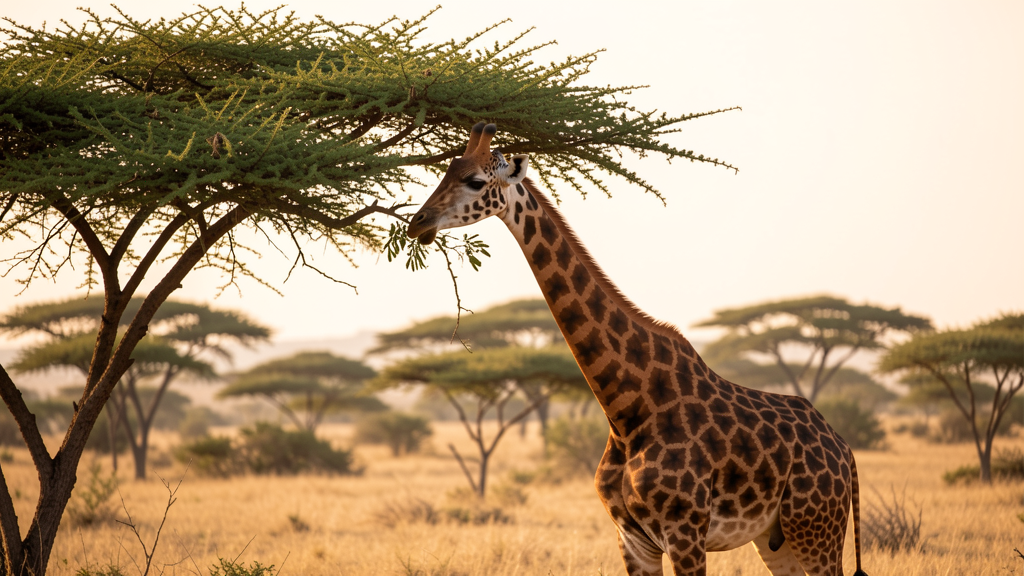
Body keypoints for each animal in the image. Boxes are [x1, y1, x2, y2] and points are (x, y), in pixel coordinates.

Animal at [407, 122, 869, 576]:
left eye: (475, 180)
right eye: (446, 171)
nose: (417, 222)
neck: (625, 410)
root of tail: (843, 449)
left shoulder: (685, 534)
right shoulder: (632, 539)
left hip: (816, 529)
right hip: (777, 539)